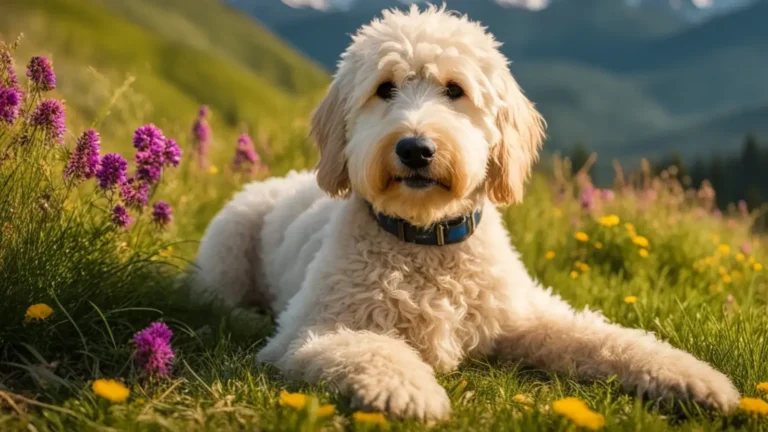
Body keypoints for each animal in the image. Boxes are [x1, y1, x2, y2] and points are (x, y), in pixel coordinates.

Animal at [195, 4, 740, 422]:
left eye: (454, 89)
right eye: (385, 88)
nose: (415, 149)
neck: (426, 240)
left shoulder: (526, 314)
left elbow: (606, 339)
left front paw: (693, 378)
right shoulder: (311, 331)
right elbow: (371, 348)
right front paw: (408, 391)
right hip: (226, 248)